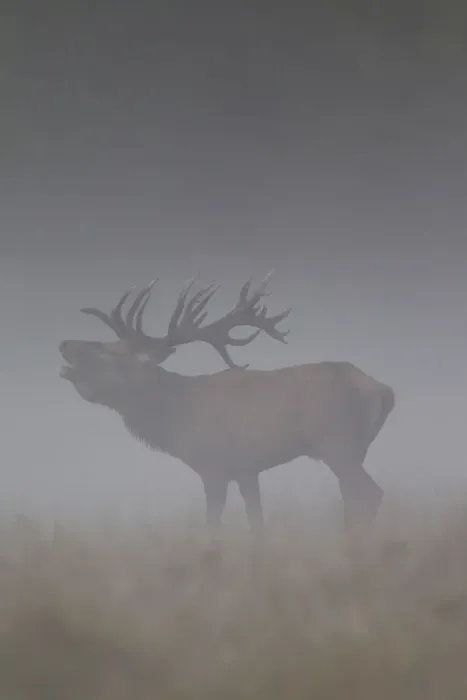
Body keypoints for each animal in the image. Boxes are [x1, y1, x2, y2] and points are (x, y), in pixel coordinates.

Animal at [58, 272, 395, 538]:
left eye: (109, 353)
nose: (64, 343)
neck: (175, 416)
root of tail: (384, 391)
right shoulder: (247, 469)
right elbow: (256, 520)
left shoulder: (214, 464)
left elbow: (213, 524)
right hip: (354, 449)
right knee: (352, 498)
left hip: (337, 442)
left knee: (369, 494)